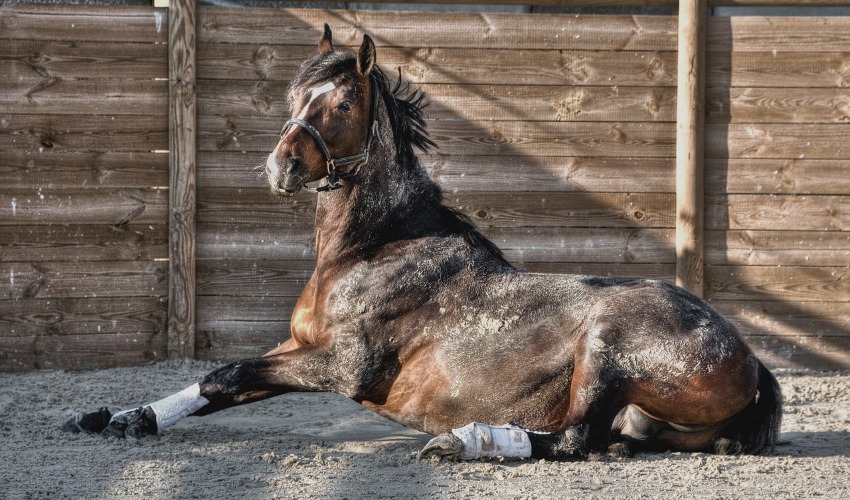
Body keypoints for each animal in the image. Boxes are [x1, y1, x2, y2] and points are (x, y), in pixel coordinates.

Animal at [63, 24, 782, 461]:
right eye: (296, 94)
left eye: (343, 104)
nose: (280, 167)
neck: (373, 248)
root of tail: (749, 358)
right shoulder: (295, 349)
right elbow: (214, 384)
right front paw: (119, 417)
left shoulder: (342, 367)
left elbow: (226, 373)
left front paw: (124, 417)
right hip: (636, 416)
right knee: (602, 441)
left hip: (606, 347)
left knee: (572, 438)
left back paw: (465, 442)